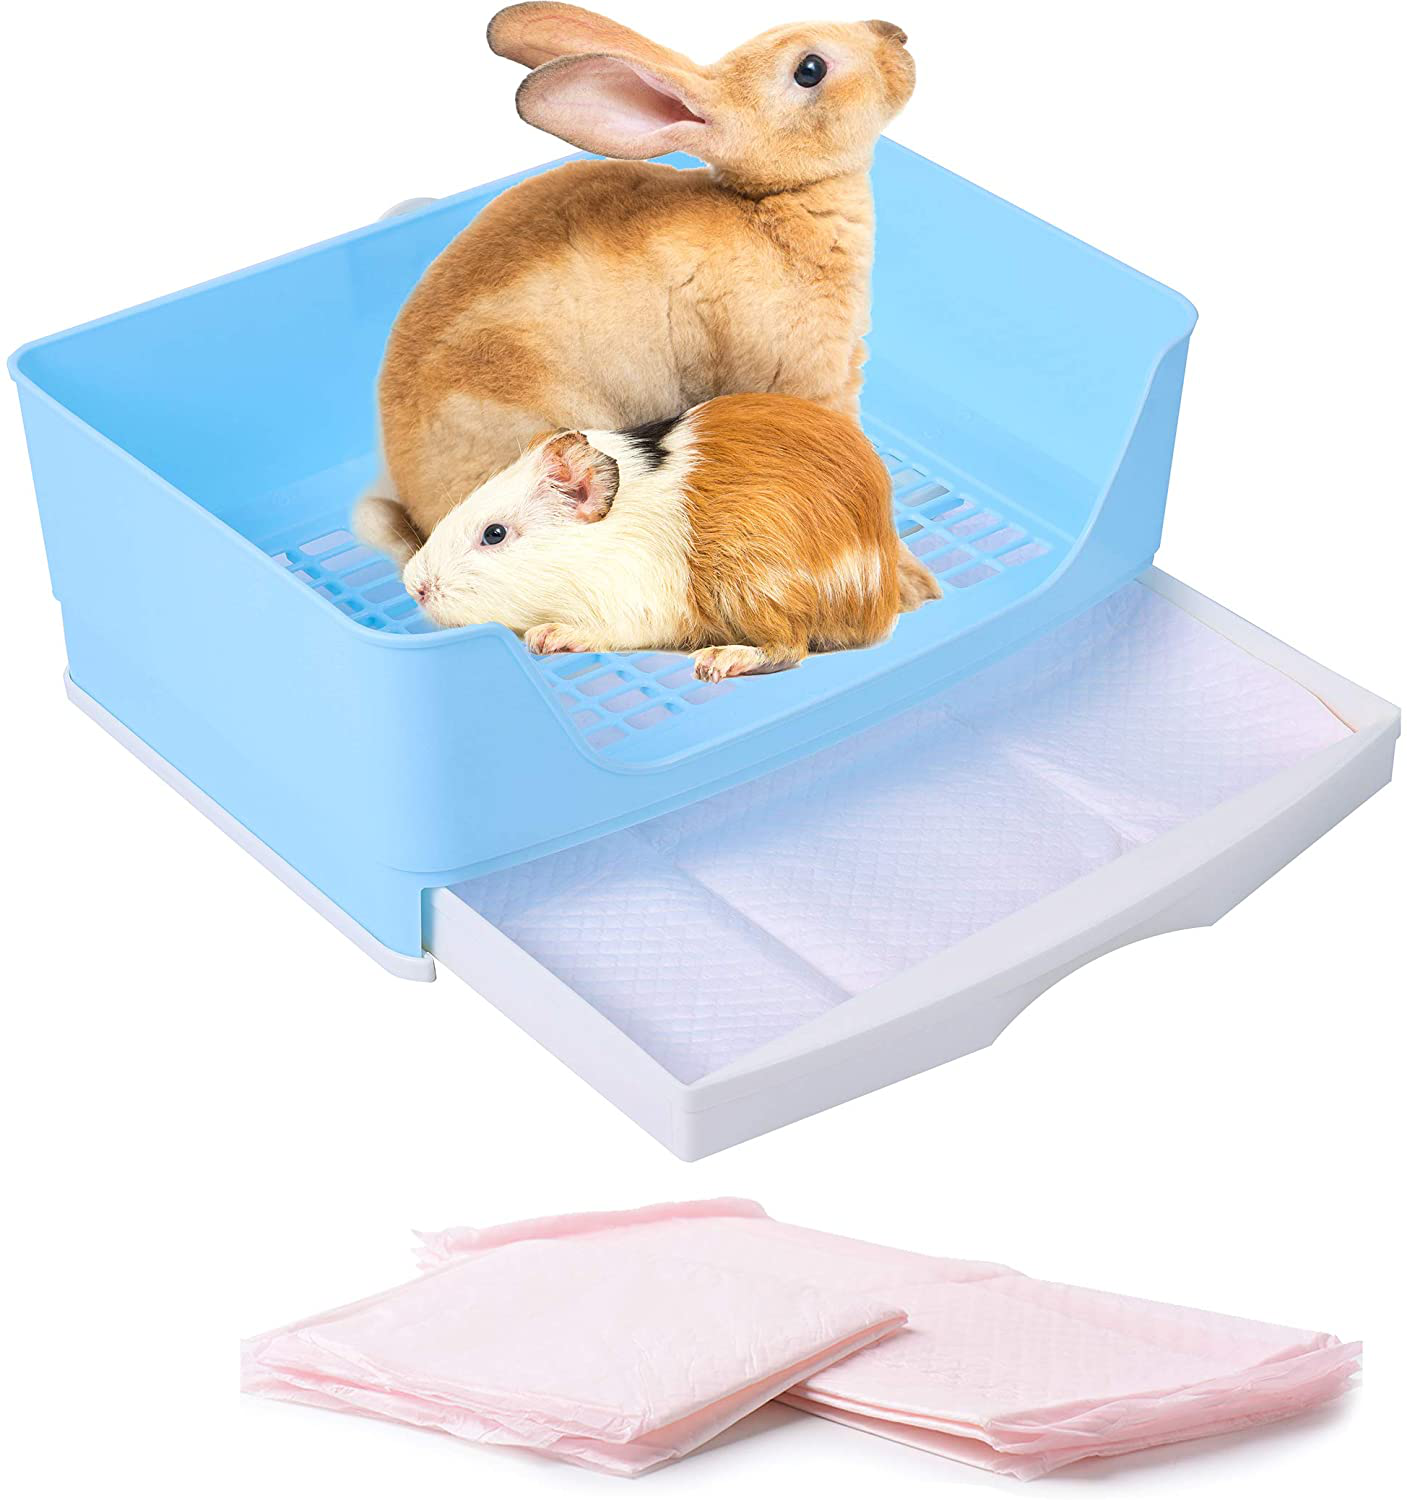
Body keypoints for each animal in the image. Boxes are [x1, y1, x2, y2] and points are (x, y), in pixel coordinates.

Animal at [399, 392, 941, 680]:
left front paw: (545, 637)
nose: (414, 585)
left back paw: (714, 663)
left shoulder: (634, 609)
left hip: (752, 588)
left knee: (789, 649)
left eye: (494, 534)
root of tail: (880, 600)